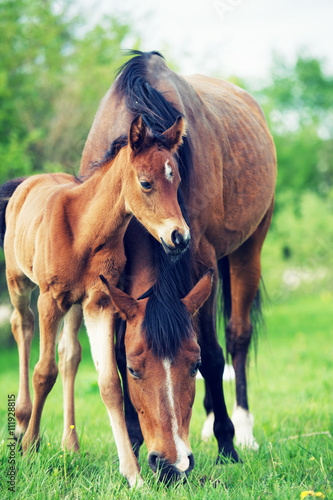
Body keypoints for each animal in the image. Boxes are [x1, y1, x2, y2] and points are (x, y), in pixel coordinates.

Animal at [0, 115, 192, 486]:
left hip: (75, 307)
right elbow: (43, 372)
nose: (180, 237)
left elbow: (109, 384)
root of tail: (28, 183)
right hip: (19, 282)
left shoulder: (99, 303)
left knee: (69, 355)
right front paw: (30, 447)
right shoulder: (50, 299)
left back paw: (70, 445)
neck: (84, 232)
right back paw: (22, 424)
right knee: (21, 326)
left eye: (176, 181)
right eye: (146, 183)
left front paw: (133, 475)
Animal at [77, 51, 274, 460]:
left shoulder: (202, 263)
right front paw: (134, 440)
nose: (169, 463)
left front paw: (227, 442)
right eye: (136, 370)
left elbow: (213, 355)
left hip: (247, 251)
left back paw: (243, 428)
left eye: (189, 365)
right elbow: (116, 355)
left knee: (238, 336)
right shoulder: (111, 281)